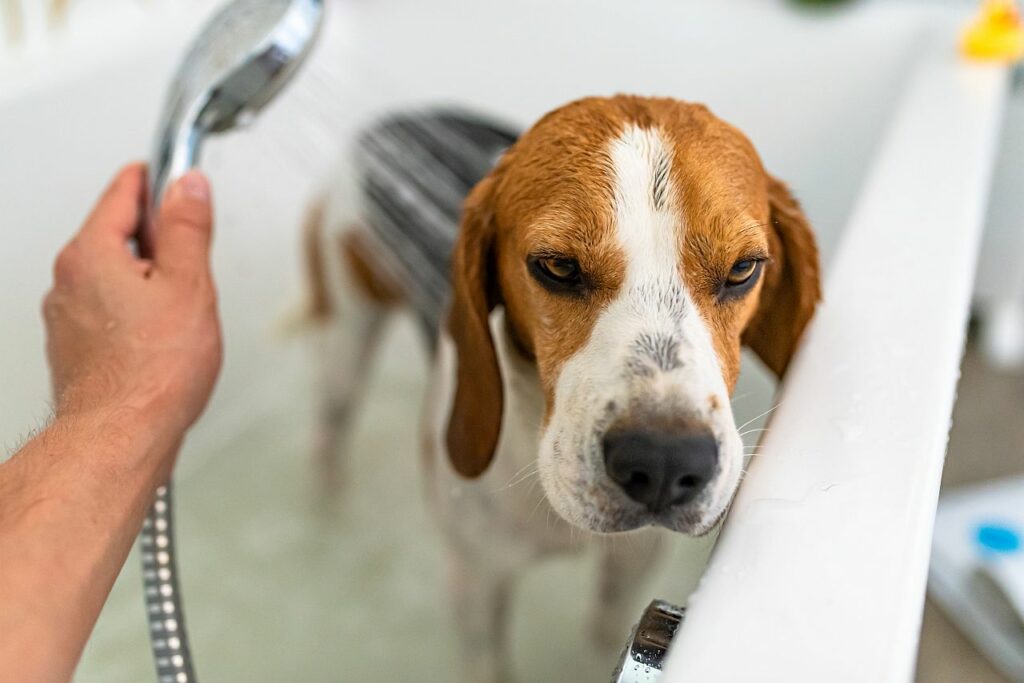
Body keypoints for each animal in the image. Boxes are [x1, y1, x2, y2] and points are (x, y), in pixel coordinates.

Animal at [305, 96, 823, 683]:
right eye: (557, 266)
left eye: (742, 269)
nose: (665, 463)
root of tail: (400, 117)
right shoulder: (475, 579)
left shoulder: (633, 560)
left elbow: (603, 632)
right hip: (347, 331)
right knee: (329, 428)